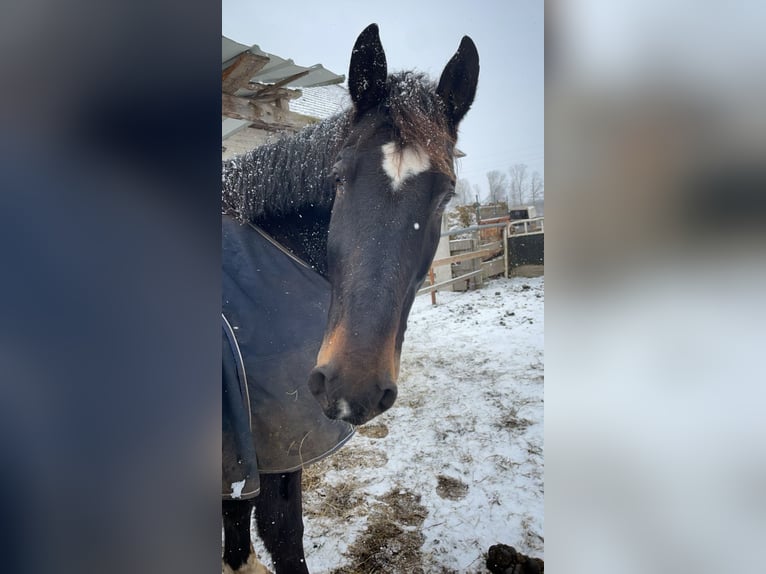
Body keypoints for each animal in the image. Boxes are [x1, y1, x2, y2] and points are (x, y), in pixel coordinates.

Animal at [220, 23, 480, 574]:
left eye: (446, 194)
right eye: (338, 177)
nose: (352, 387)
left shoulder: (243, 458)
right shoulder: (275, 451)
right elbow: (282, 535)